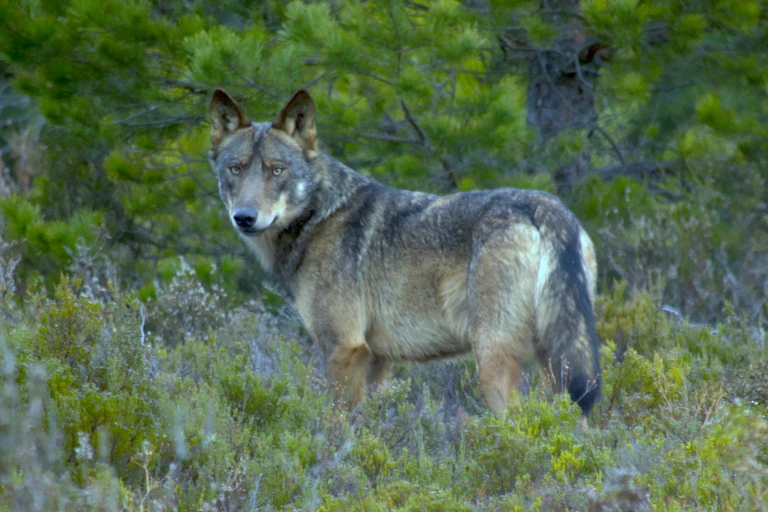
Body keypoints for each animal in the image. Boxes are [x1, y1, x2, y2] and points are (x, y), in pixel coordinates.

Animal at [208, 88, 601, 417]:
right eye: (235, 169)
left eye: (277, 170)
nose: (244, 217)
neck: (319, 217)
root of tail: (546, 206)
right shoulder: (378, 360)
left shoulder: (343, 349)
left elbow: (336, 427)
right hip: (556, 363)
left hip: (494, 360)